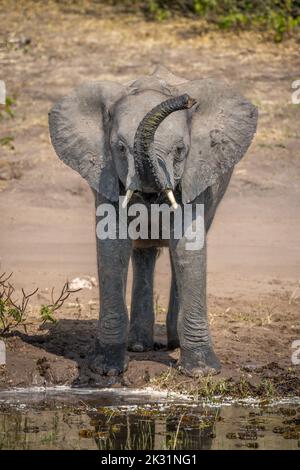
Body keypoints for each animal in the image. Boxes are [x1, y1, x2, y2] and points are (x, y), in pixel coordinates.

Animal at [48, 66, 258, 376]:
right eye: (120, 148)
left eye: (181, 150)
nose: (187, 99)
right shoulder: (105, 173)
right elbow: (112, 245)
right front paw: (106, 369)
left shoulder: (198, 171)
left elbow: (188, 246)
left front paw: (202, 372)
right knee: (143, 254)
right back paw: (138, 346)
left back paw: (172, 343)